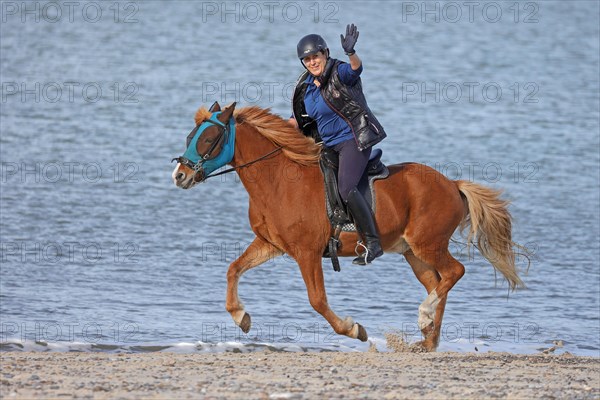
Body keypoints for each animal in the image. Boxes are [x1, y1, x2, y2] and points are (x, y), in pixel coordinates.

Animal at [171, 102, 524, 350]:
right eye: (190, 137)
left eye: (209, 139)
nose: (179, 175)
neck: (278, 180)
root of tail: (452, 184)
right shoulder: (271, 245)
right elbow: (233, 268)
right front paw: (240, 316)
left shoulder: (307, 252)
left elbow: (317, 300)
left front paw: (355, 329)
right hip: (413, 253)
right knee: (437, 283)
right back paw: (428, 338)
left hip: (428, 244)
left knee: (454, 273)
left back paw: (424, 320)